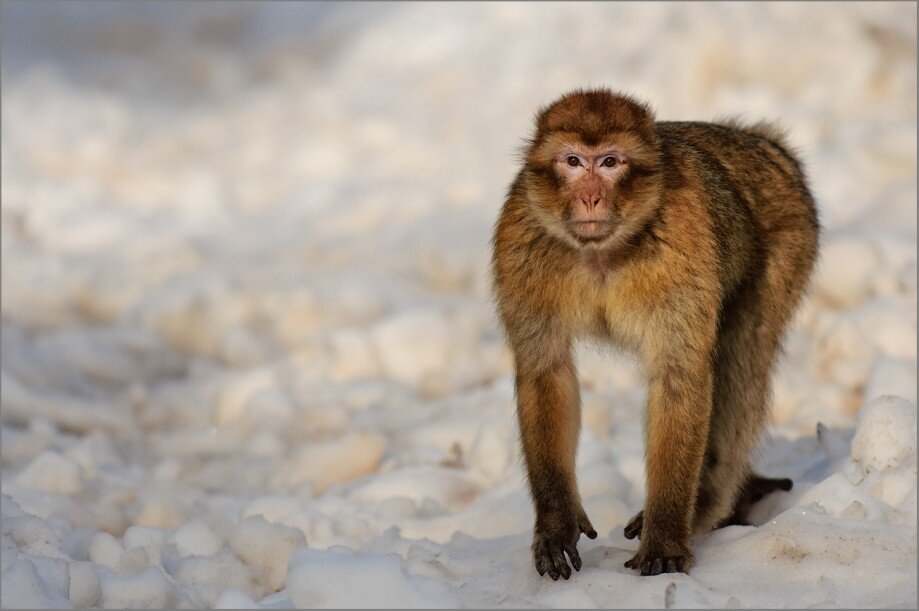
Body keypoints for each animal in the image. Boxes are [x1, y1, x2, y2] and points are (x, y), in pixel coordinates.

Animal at [492, 88, 824, 580]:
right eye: (573, 161)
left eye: (610, 162)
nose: (591, 197)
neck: (602, 254)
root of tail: (761, 143)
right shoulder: (520, 243)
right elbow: (546, 373)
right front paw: (556, 524)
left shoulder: (682, 246)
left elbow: (679, 378)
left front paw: (665, 537)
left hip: (789, 239)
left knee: (742, 358)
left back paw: (706, 504)